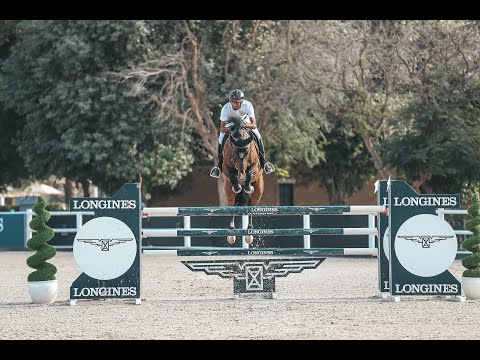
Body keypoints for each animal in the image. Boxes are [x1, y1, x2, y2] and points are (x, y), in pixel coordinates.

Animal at [222, 116, 264, 246]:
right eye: (234, 152)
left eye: (248, 152)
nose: (242, 174)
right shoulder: (225, 167)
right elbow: (232, 175)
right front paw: (238, 186)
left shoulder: (256, 165)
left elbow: (251, 172)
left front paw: (247, 186)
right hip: (228, 192)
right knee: (232, 205)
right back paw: (231, 233)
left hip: (258, 192)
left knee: (251, 206)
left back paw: (249, 232)